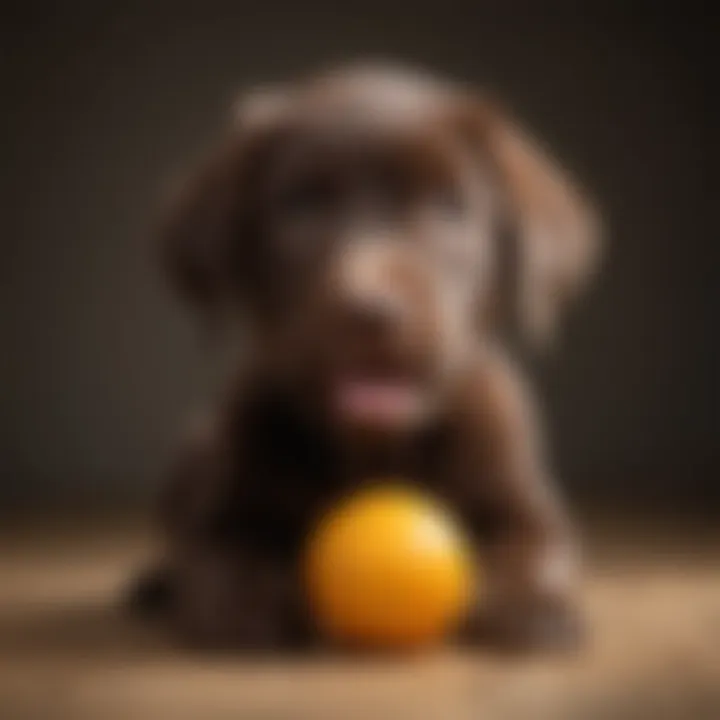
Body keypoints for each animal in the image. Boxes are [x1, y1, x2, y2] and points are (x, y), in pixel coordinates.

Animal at [131, 64, 600, 652]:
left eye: (448, 203)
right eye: (300, 204)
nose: (369, 310)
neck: (374, 450)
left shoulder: (522, 499)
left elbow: (537, 545)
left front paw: (535, 605)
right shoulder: (229, 507)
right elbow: (224, 553)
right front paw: (248, 603)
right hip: (192, 451)